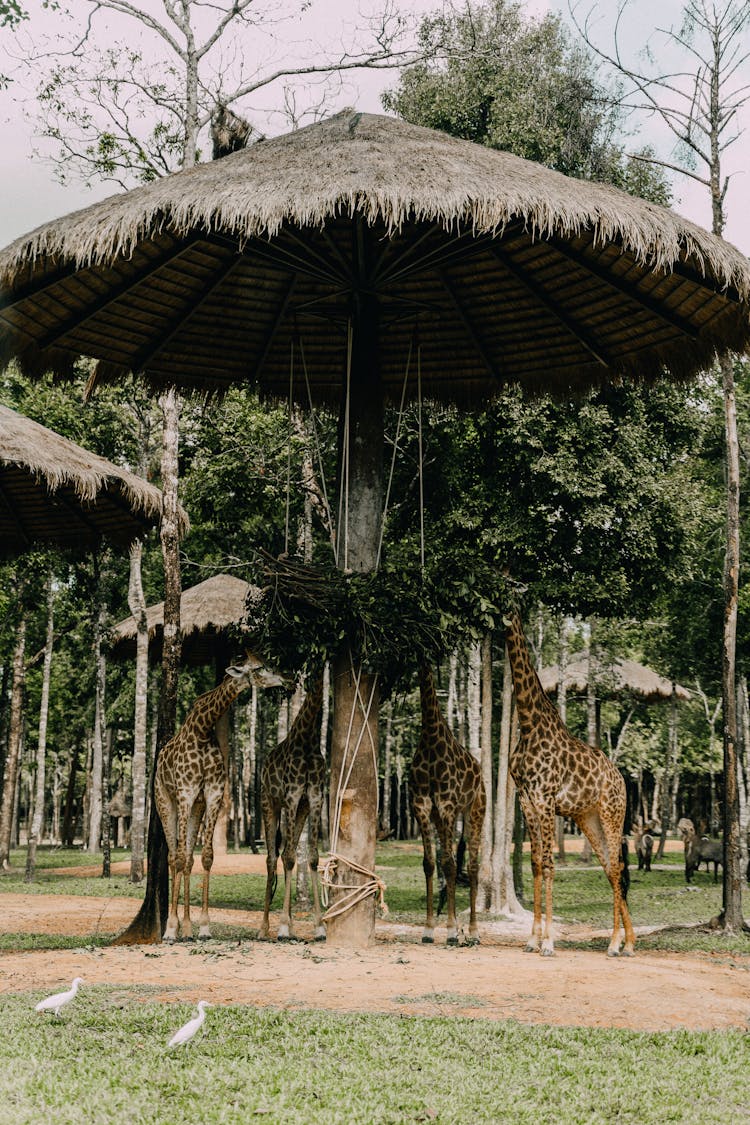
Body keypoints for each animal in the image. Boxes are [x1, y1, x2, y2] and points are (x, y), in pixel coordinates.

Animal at [155, 652, 284, 940]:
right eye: (259, 667)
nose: (285, 678)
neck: (203, 730)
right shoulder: (185, 791)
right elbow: (178, 857)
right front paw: (171, 929)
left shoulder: (212, 793)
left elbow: (206, 856)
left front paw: (202, 926)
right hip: (165, 801)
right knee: (173, 856)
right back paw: (172, 926)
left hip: (196, 807)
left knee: (187, 857)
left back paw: (185, 925)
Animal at [411, 661, 488, 945]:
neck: (430, 737)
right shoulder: (421, 806)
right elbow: (430, 863)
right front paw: (428, 929)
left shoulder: (446, 805)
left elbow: (449, 864)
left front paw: (453, 930)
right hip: (446, 816)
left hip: (475, 810)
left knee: (473, 866)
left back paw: (474, 932)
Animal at [503, 607, 634, 958]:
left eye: (506, 602)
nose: (497, 618)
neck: (528, 723)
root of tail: (621, 779)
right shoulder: (527, 800)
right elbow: (535, 863)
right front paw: (532, 940)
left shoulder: (546, 798)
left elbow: (549, 864)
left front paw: (548, 942)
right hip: (588, 818)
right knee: (609, 866)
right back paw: (628, 942)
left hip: (612, 812)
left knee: (616, 866)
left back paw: (615, 944)